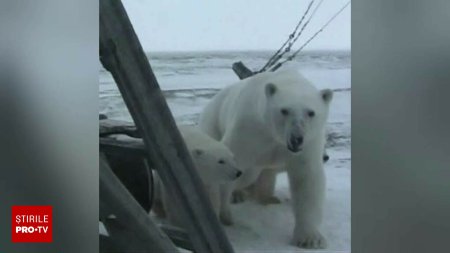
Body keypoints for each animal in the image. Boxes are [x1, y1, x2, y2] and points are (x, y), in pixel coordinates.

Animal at [199, 68, 332, 248]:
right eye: (284, 110)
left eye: (311, 112)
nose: (296, 138)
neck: (275, 136)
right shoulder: (250, 129)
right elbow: (228, 165)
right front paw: (224, 214)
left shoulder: (309, 143)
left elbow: (307, 178)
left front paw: (310, 239)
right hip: (213, 124)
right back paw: (238, 194)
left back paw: (269, 197)